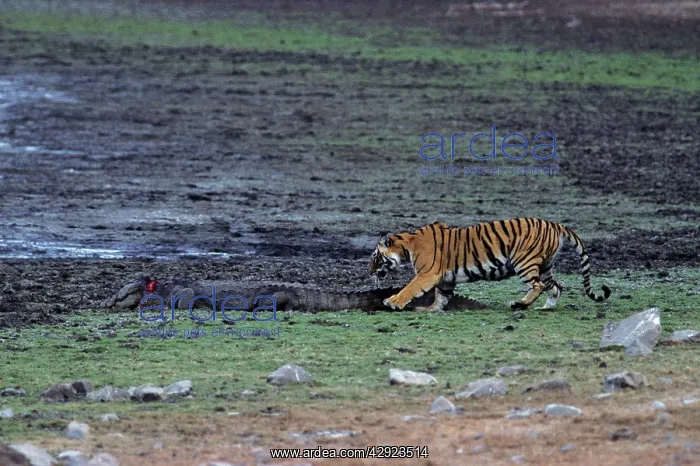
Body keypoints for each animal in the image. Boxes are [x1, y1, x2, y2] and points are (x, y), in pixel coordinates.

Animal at [370, 218, 610, 311]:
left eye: (375, 257)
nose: (370, 272)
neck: (408, 244)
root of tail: (554, 224)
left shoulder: (427, 274)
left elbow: (409, 288)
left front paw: (392, 302)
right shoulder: (445, 279)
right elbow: (441, 296)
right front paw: (431, 309)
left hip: (524, 262)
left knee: (538, 286)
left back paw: (519, 304)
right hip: (545, 266)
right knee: (556, 287)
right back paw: (546, 307)